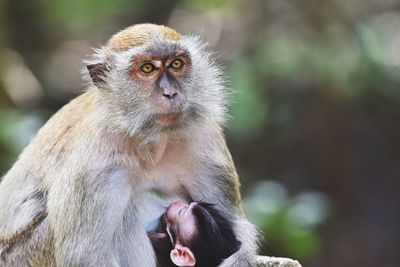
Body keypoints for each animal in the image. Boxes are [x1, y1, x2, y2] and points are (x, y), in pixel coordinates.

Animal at [0, 24, 258, 266]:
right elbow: (85, 257)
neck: (147, 141)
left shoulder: (205, 138)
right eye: (147, 68)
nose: (170, 93)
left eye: (176, 63)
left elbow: (234, 225)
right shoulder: (93, 167)